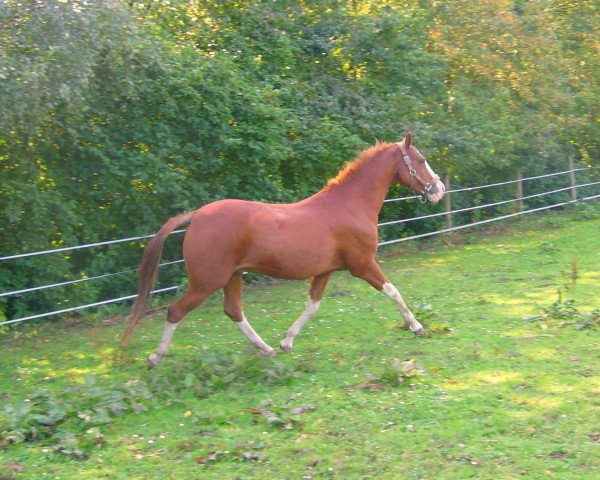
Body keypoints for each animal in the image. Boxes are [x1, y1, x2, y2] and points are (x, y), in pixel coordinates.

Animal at [120, 132, 446, 368]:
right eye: (421, 160)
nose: (439, 190)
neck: (349, 205)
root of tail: (197, 215)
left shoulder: (325, 271)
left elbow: (312, 306)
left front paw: (287, 342)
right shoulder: (363, 265)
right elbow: (393, 292)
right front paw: (417, 326)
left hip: (232, 277)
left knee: (233, 311)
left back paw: (266, 350)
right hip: (206, 281)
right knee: (176, 311)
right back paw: (155, 357)